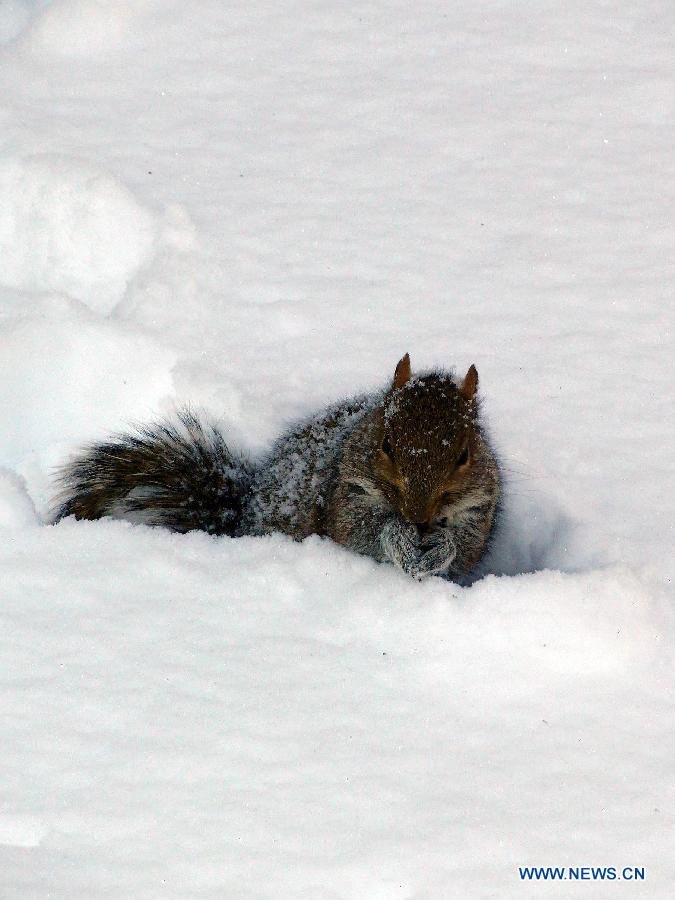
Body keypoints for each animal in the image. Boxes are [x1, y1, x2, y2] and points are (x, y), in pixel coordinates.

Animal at [55, 356, 502, 580]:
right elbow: (363, 532)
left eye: (465, 454)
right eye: (386, 444)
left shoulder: (480, 507)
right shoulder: (345, 493)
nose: (418, 517)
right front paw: (401, 540)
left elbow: (464, 547)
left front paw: (438, 547)